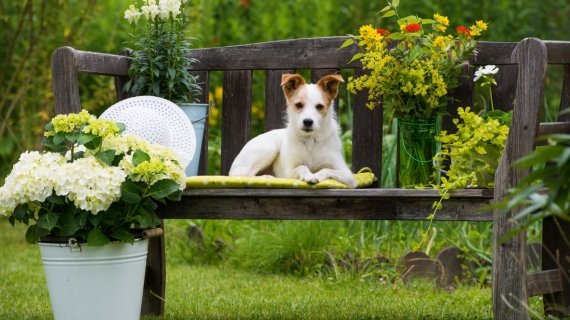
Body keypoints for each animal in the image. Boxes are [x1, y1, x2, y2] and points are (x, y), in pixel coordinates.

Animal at [227, 73, 356, 188]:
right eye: (298, 105)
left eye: (319, 106)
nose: (308, 121)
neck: (311, 141)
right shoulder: (288, 172)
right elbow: (302, 167)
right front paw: (308, 175)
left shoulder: (348, 175)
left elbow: (326, 169)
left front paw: (315, 176)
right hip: (270, 148)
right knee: (243, 175)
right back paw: (266, 177)